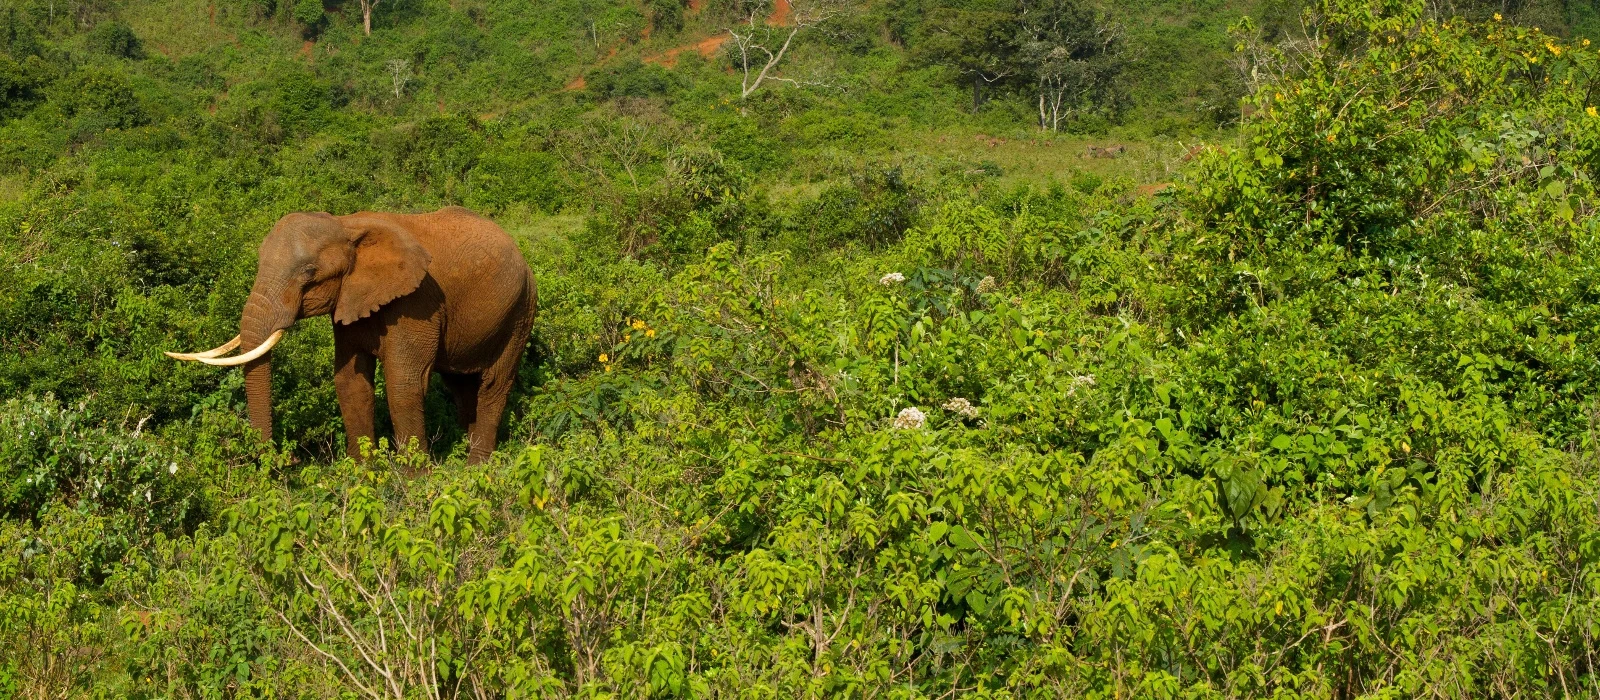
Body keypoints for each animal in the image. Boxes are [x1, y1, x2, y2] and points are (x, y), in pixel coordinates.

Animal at [167, 206, 536, 464]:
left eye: (309, 273)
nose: (292, 459)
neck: (346, 225)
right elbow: (350, 383)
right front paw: (363, 478)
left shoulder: (417, 302)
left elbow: (404, 385)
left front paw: (415, 484)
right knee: (461, 386)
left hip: (521, 312)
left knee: (493, 386)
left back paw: (476, 470)